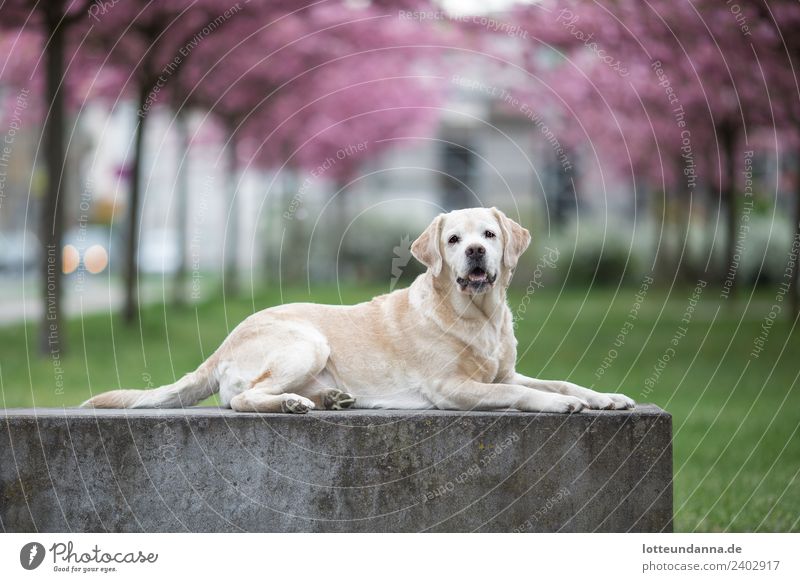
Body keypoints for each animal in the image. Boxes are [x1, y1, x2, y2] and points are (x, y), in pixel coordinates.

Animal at [81, 209, 632, 416]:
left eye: (489, 235)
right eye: (454, 240)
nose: (476, 252)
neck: (480, 316)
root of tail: (222, 344)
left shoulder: (506, 370)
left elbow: (558, 380)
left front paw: (604, 397)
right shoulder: (450, 388)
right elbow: (519, 393)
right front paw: (560, 405)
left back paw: (327, 400)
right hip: (307, 341)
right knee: (239, 400)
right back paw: (293, 405)